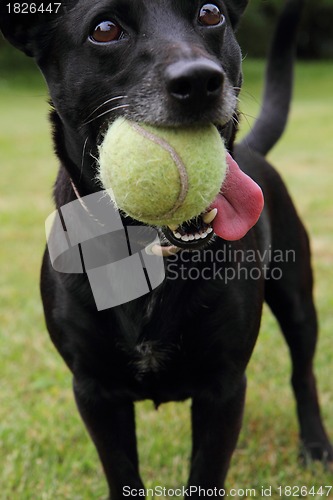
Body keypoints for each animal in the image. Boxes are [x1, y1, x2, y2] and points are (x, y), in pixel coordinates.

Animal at [1, 0, 330, 496]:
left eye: (211, 13)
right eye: (104, 29)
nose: (199, 81)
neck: (148, 250)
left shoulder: (223, 387)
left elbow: (206, 473)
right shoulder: (94, 392)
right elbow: (122, 473)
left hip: (297, 299)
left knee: (302, 372)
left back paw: (315, 446)